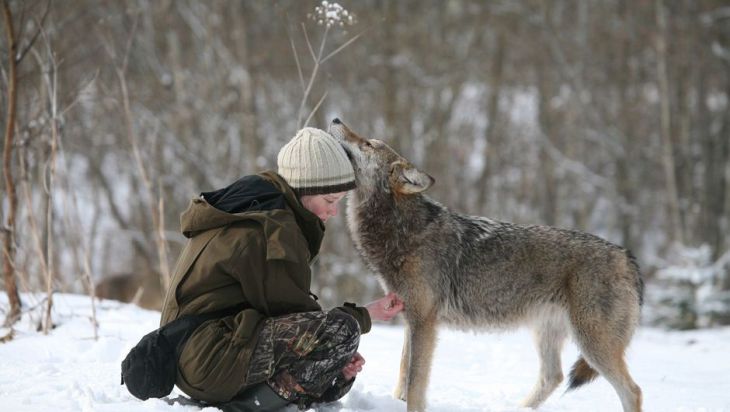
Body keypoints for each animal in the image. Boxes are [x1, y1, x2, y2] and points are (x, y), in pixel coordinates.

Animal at [328, 118, 640, 412]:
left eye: (368, 143)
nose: (335, 119)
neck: (402, 229)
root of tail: (626, 256)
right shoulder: (409, 318)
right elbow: (403, 376)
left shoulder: (424, 322)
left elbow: (415, 384)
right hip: (547, 334)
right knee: (554, 376)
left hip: (592, 344)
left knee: (632, 391)